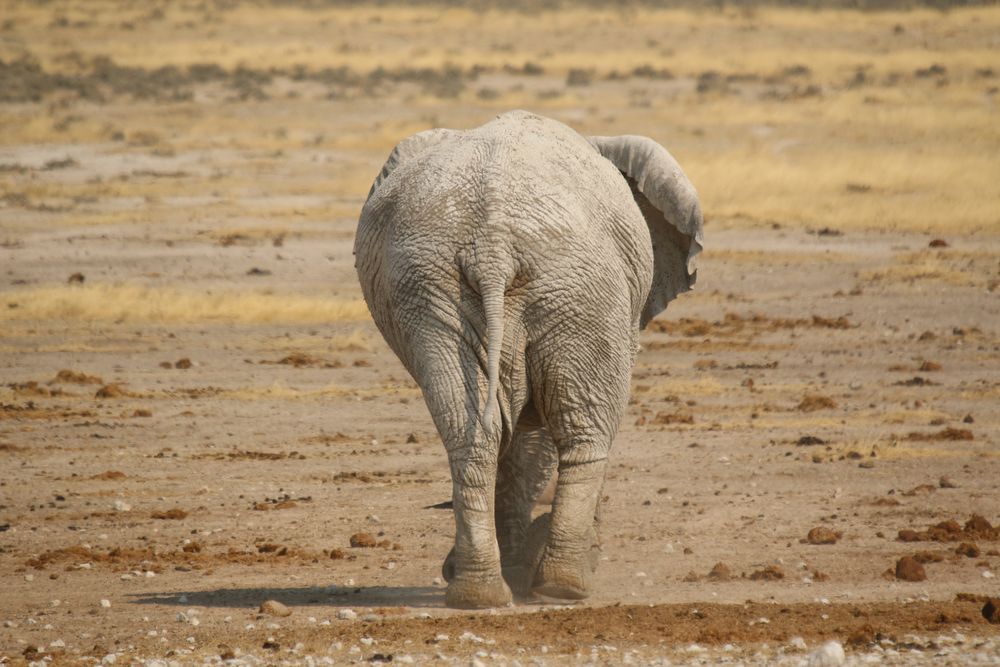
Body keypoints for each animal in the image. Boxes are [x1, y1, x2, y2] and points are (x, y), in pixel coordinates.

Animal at [354, 111, 704, 612]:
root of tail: (492, 242)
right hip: (580, 288)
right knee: (584, 431)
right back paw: (563, 585)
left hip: (433, 291)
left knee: (471, 434)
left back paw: (479, 593)